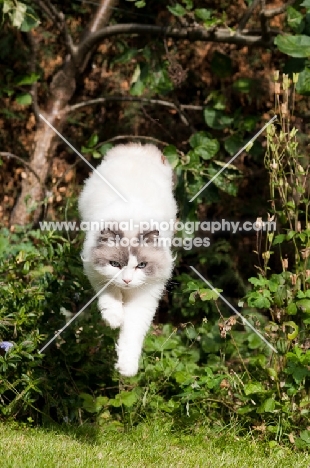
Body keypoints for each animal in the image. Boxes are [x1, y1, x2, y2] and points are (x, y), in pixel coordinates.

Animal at [78, 143, 177, 376]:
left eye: (141, 265)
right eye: (116, 264)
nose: (127, 280)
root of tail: (136, 147)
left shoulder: (144, 299)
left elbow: (131, 335)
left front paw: (127, 368)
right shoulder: (97, 274)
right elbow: (111, 296)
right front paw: (114, 319)